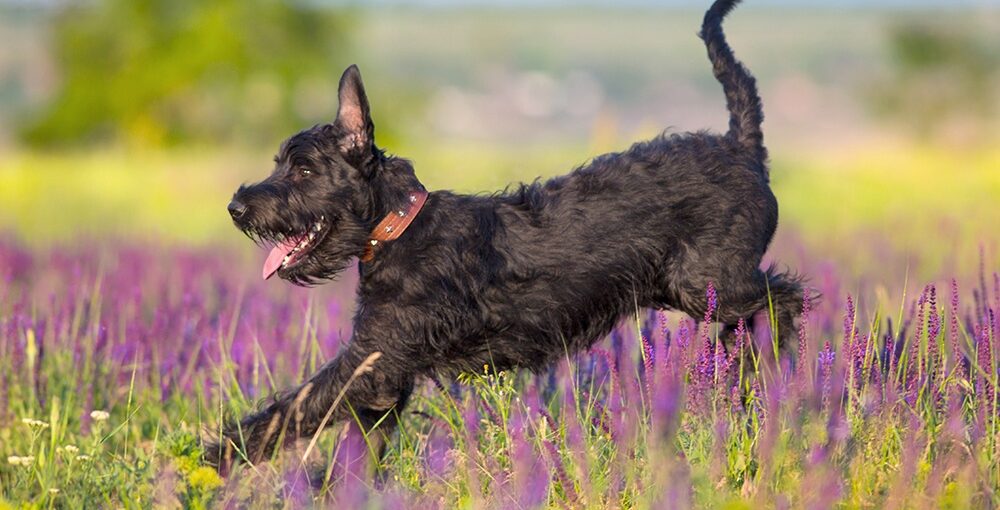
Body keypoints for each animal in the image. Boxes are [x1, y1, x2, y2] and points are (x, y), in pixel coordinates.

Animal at [213, 0, 804, 470]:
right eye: (281, 163)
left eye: (304, 170)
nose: (236, 207)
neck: (398, 226)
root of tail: (743, 148)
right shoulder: (383, 374)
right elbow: (352, 444)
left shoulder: (371, 358)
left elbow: (294, 407)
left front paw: (218, 455)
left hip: (708, 281)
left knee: (784, 297)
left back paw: (767, 368)